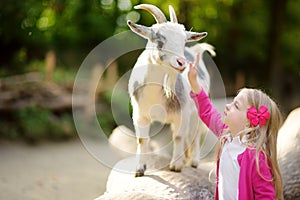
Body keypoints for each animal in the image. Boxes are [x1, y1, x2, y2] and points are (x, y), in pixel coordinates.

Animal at [127, 3, 213, 177]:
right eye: (159, 38)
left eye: (184, 41)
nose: (181, 62)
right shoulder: (140, 115)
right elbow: (142, 139)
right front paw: (140, 169)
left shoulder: (182, 113)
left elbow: (178, 136)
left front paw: (176, 165)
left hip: (196, 112)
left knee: (195, 134)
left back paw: (193, 161)